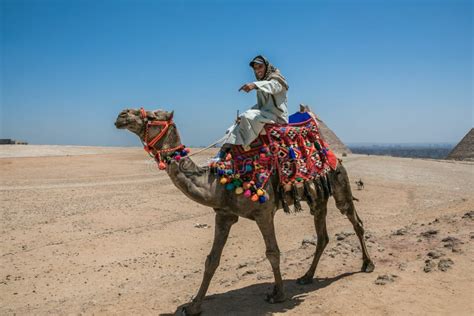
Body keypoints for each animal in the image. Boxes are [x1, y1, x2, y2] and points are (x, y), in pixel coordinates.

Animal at [115, 107, 374, 314]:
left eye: (152, 115)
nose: (122, 115)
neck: (220, 181)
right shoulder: (224, 214)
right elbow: (212, 260)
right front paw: (194, 306)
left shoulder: (263, 212)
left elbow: (273, 252)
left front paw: (278, 294)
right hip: (317, 198)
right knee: (322, 236)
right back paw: (307, 277)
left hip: (339, 182)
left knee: (355, 221)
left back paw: (367, 265)